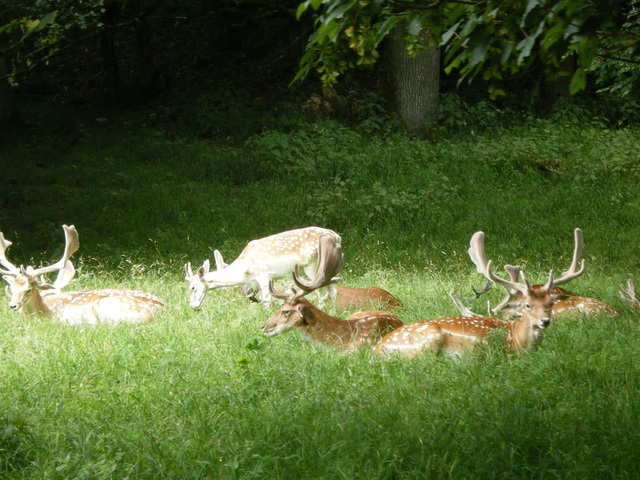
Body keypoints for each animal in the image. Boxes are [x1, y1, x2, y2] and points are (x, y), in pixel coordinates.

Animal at [0, 226, 165, 326]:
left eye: (28, 289)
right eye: (11, 288)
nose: (13, 305)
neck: (46, 309)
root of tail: (159, 311)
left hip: (103, 306)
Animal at [182, 228, 342, 310]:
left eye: (192, 288)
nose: (192, 306)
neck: (244, 270)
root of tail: (337, 236)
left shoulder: (264, 275)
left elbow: (267, 301)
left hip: (313, 264)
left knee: (322, 290)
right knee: (332, 290)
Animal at [372, 229, 588, 356]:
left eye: (550, 303)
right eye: (527, 305)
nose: (545, 321)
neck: (516, 339)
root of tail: (377, 348)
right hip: (427, 343)